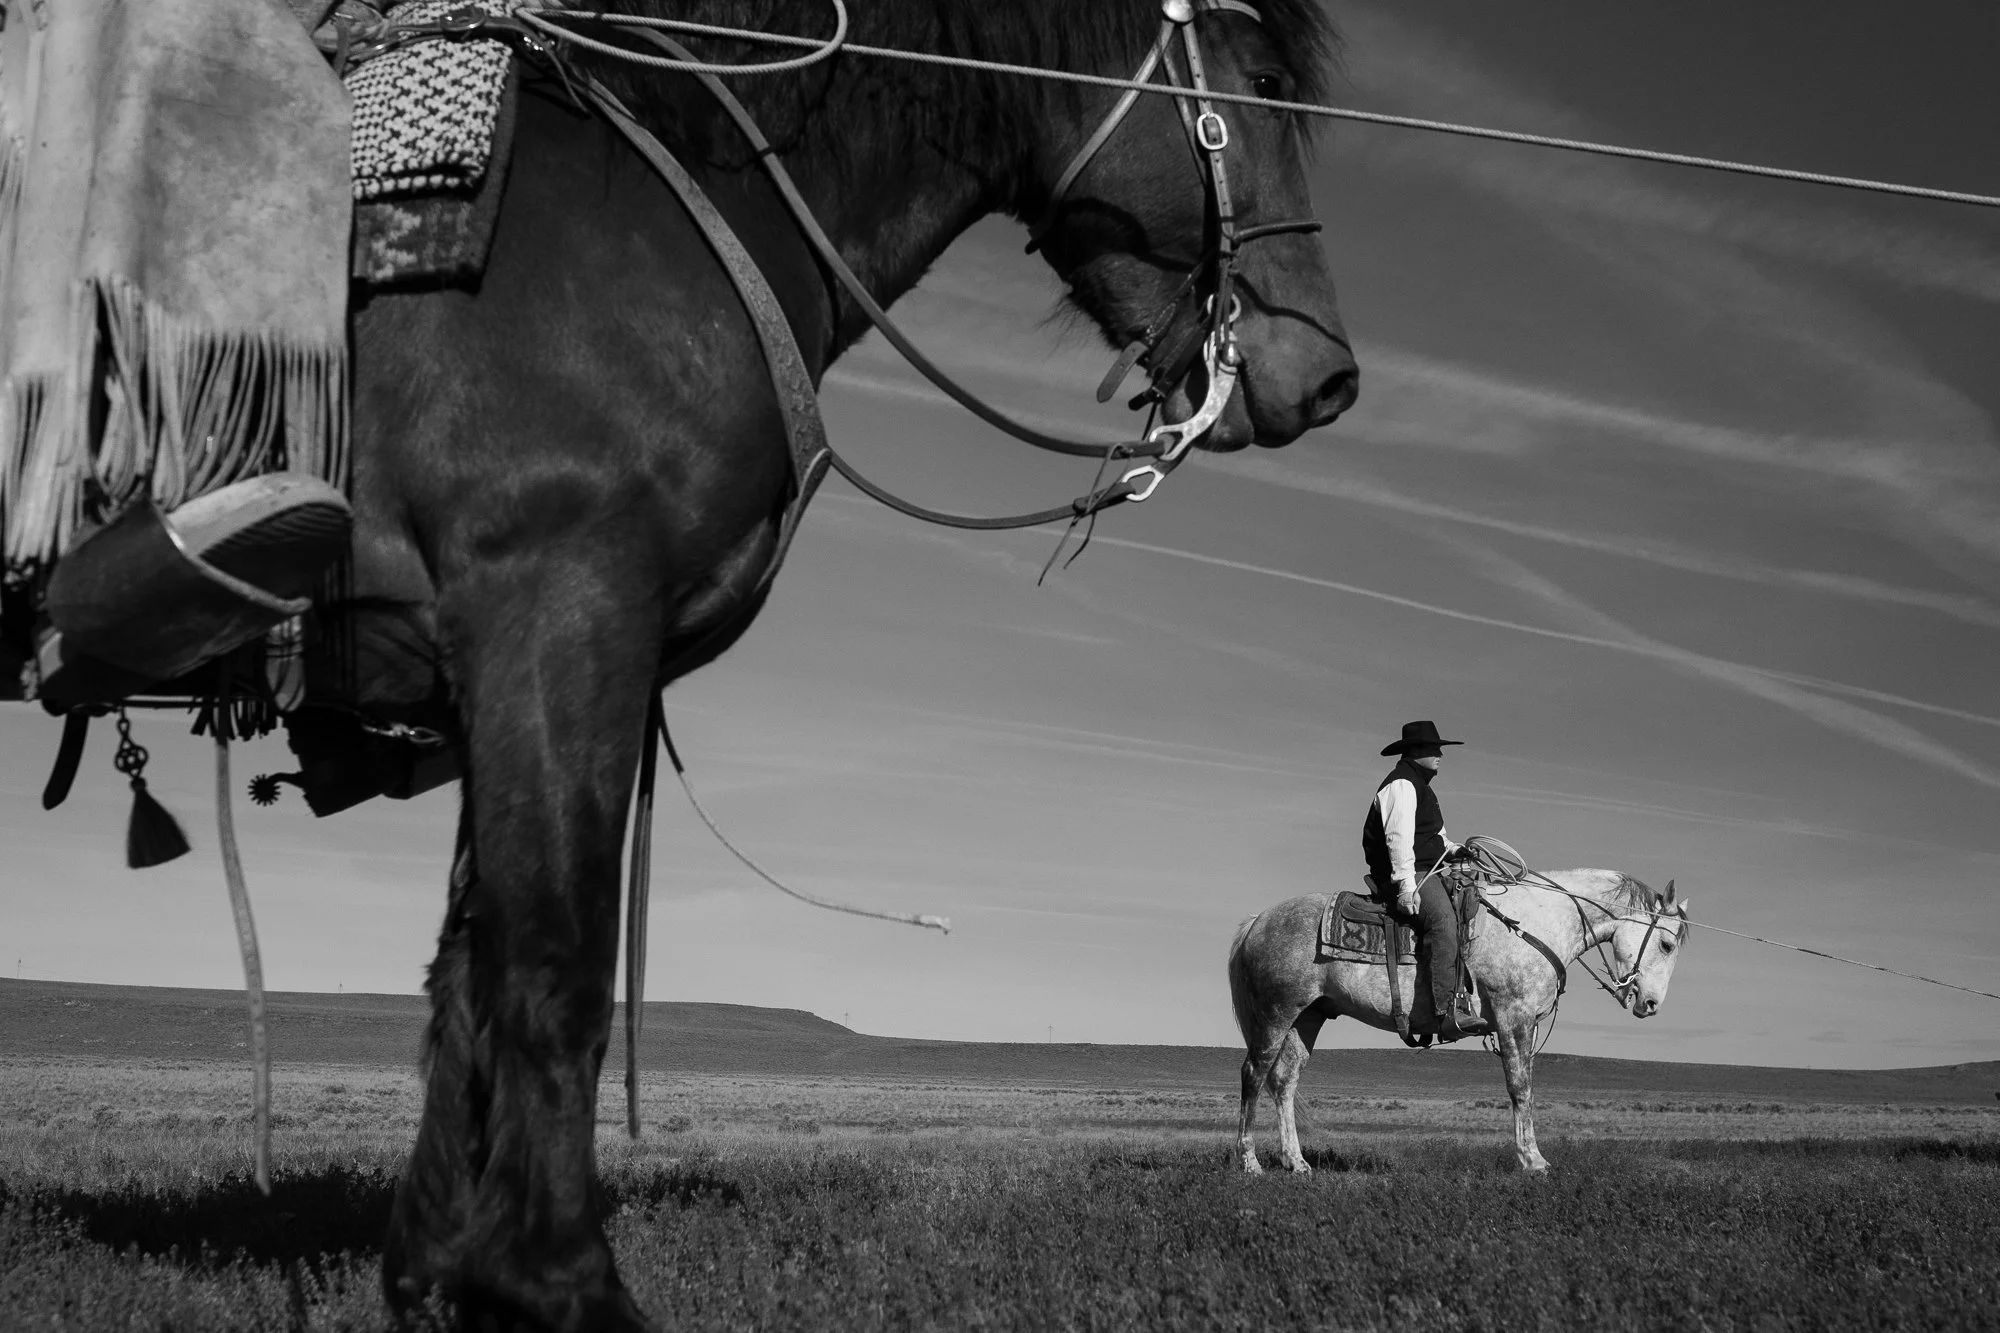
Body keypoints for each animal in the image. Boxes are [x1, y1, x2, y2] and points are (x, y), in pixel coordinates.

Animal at [324, 1, 1356, 1325]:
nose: (1328, 375)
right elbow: (554, 967)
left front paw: (435, 1269)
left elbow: (465, 974)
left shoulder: (488, 672)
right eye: (1266, 80)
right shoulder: (558, 605)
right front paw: (556, 1280)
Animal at [1227, 871, 1689, 1176]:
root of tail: (1256, 922)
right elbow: (1520, 1089)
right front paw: (1533, 1161)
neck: (1533, 925)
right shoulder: (1514, 1017)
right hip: (1276, 1014)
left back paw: (1296, 1162)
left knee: (1284, 1081)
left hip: (1308, 1015)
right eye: (1667, 944)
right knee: (1254, 1074)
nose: (1650, 1003)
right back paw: (1249, 1161)